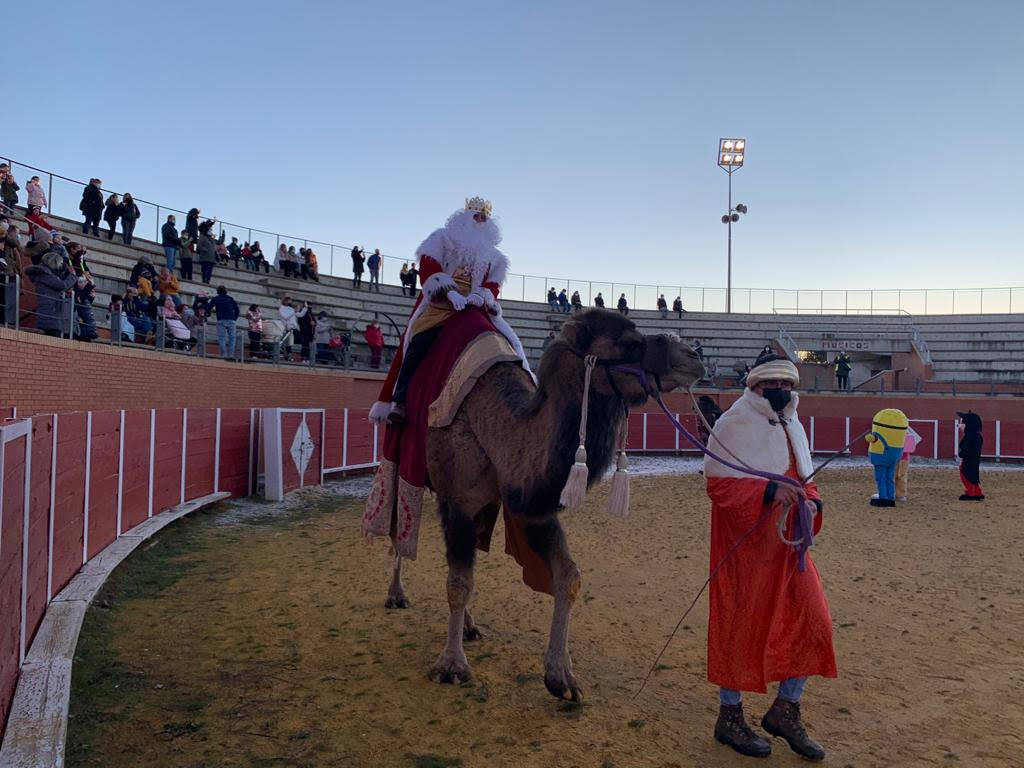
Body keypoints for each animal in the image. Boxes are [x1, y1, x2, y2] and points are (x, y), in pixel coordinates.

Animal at [385, 309, 704, 700]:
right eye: (631, 342)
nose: (694, 359)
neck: (496, 428)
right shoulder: (456, 501)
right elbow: (458, 583)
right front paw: (451, 666)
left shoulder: (530, 507)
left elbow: (568, 575)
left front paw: (562, 677)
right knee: (399, 534)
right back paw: (397, 595)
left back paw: (469, 627)